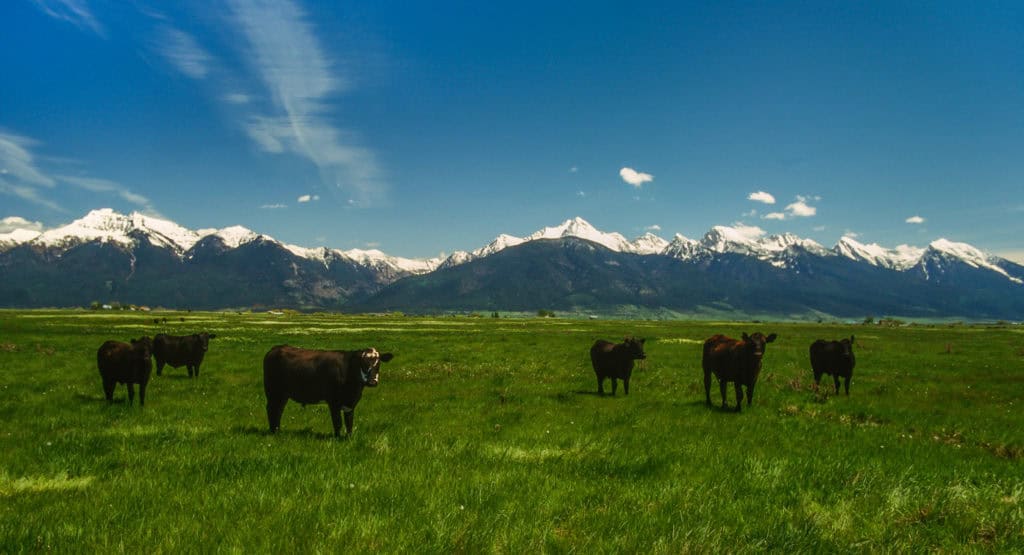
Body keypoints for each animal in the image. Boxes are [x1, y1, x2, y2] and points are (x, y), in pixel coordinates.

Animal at [263, 345, 394, 437]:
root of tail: (275, 348)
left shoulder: (351, 403)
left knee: (278, 410)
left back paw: (277, 430)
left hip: (283, 395)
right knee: (272, 409)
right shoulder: (333, 401)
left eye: (378, 363)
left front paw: (349, 438)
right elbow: (338, 422)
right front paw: (337, 438)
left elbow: (349, 422)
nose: (372, 382)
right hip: (273, 392)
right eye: (363, 363)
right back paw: (273, 432)